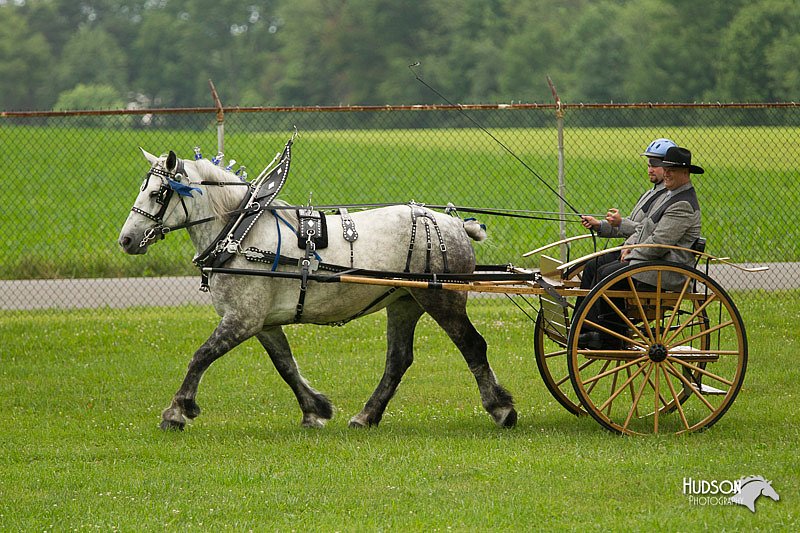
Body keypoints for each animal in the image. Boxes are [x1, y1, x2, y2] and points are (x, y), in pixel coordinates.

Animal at [119, 149, 520, 428]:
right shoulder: (262, 323)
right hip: (404, 301)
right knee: (398, 359)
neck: (240, 234)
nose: (126, 240)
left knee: (472, 346)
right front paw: (315, 409)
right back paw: (366, 416)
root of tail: (454, 224)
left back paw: (501, 409)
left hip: (442, 298)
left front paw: (177, 411)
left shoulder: (242, 319)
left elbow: (201, 356)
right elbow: (285, 365)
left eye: (158, 194)